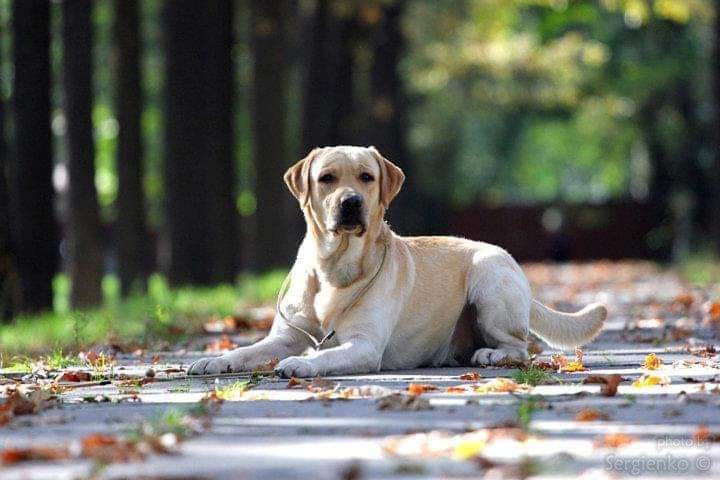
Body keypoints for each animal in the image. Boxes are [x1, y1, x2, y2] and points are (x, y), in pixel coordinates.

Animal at [188, 144, 604, 376]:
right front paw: (217, 360)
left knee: (520, 348)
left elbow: (325, 356)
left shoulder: (364, 345)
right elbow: (251, 350)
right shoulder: (286, 335)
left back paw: (489, 353)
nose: (351, 202)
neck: (334, 269)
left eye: (366, 177)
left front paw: (301, 364)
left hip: (489, 278)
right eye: (326, 178)